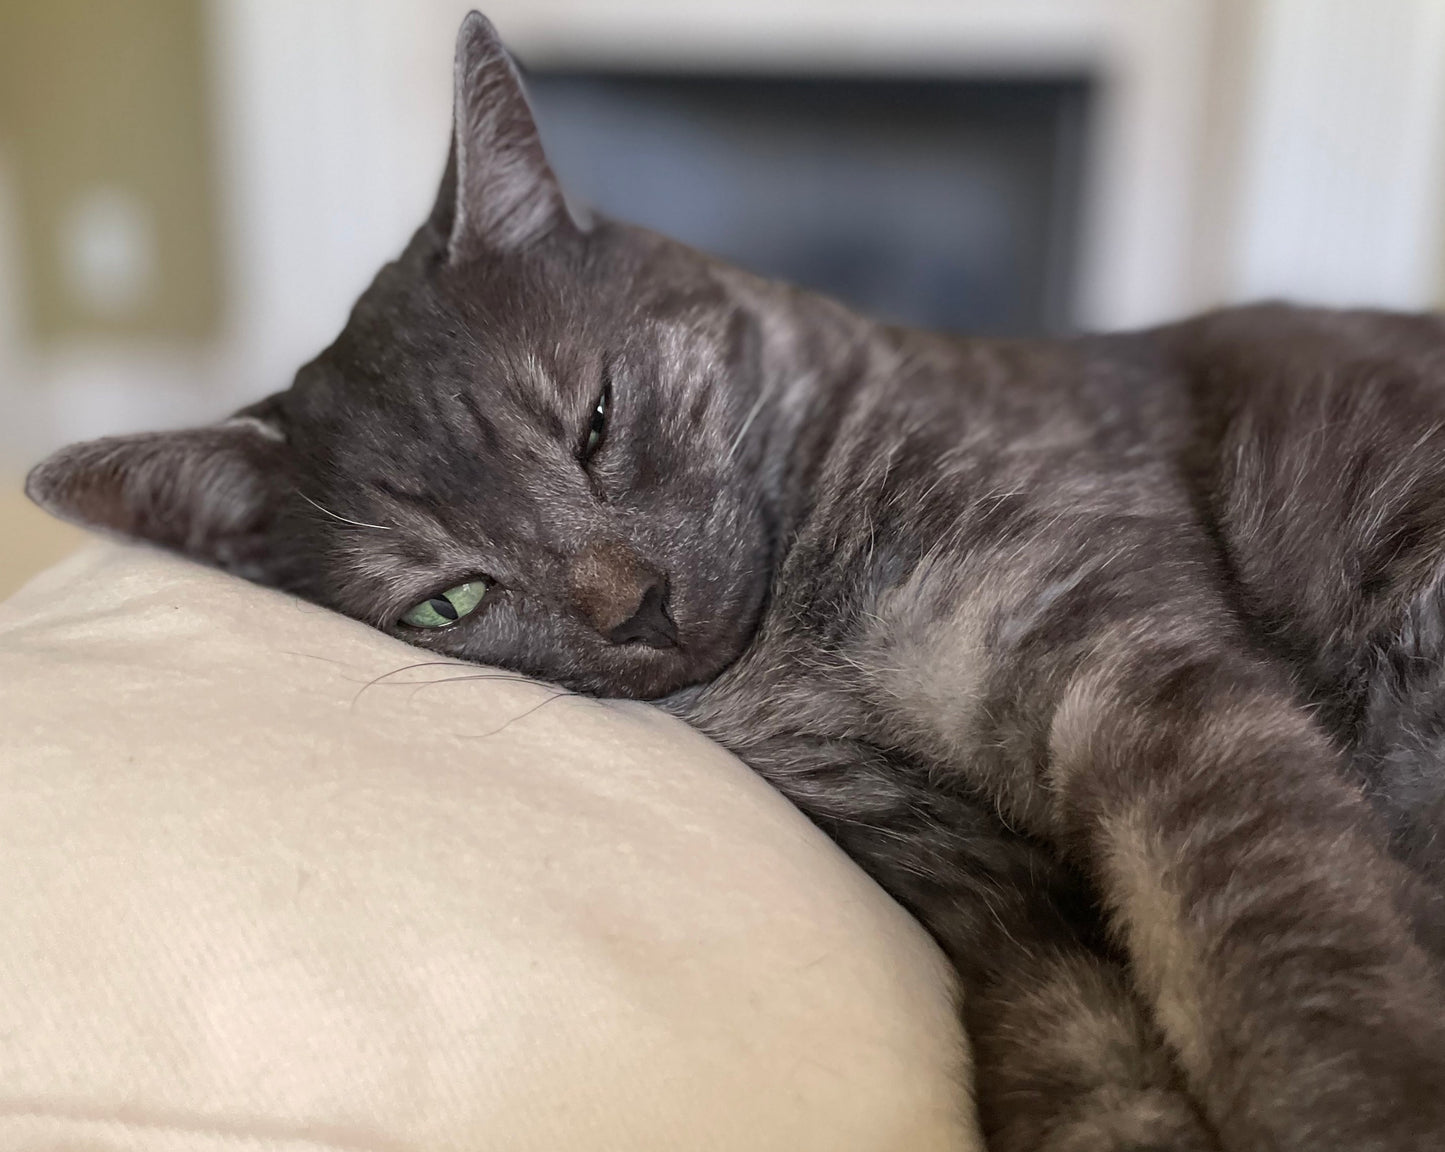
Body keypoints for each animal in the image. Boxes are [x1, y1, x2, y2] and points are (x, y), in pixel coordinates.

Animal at [25, 11, 1445, 1150]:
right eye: (447, 602)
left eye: (596, 418)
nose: (635, 604)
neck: (804, 643)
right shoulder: (975, 886)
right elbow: (1082, 1063)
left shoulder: (1134, 679)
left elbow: (1278, 963)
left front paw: (1351, 1110)